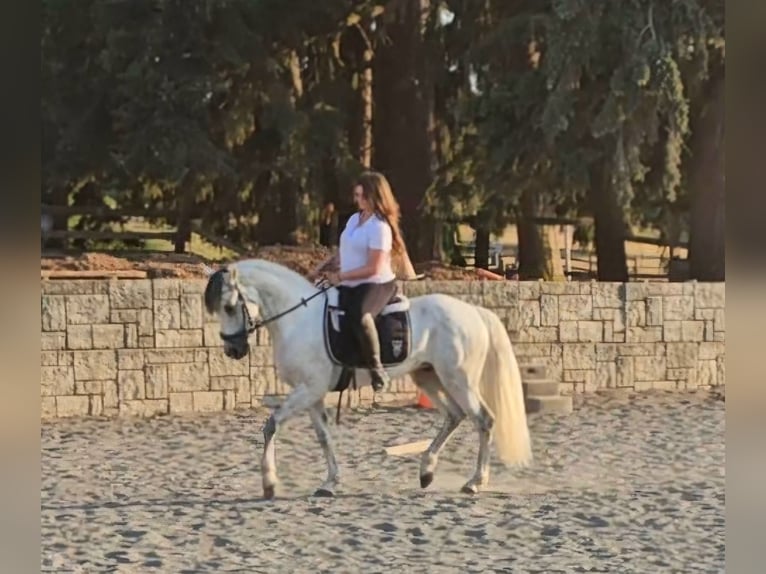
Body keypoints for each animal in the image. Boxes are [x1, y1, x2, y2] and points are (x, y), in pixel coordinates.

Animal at [202, 260, 536, 500]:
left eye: (229, 307)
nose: (233, 350)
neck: (298, 319)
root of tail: (474, 311)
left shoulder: (307, 390)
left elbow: (272, 424)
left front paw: (269, 483)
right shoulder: (313, 394)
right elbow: (323, 437)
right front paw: (330, 483)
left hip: (458, 379)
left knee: (483, 419)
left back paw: (475, 482)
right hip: (429, 376)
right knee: (455, 415)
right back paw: (426, 471)